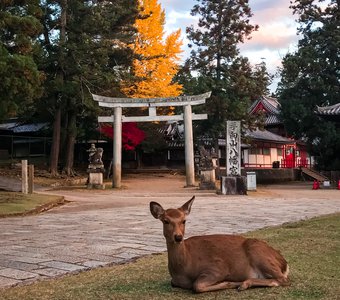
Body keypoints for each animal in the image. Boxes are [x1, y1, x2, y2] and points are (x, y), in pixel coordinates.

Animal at [149, 196, 290, 294]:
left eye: (184, 221)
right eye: (166, 221)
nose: (178, 237)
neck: (183, 269)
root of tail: (284, 263)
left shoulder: (218, 267)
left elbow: (197, 285)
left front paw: (230, 283)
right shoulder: (174, 280)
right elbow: (174, 283)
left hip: (257, 251)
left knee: (282, 279)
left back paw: (243, 284)